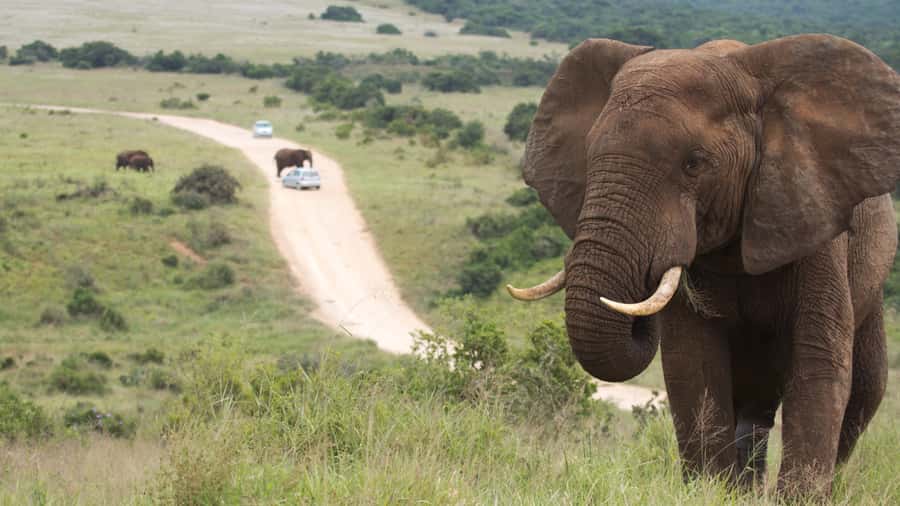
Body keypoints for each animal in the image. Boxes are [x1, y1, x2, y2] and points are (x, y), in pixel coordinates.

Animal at [506, 35, 900, 498]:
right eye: (588, 157)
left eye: (693, 163)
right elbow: (693, 362)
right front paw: (711, 490)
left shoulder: (813, 215)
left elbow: (818, 360)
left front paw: (798, 499)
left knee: (864, 393)